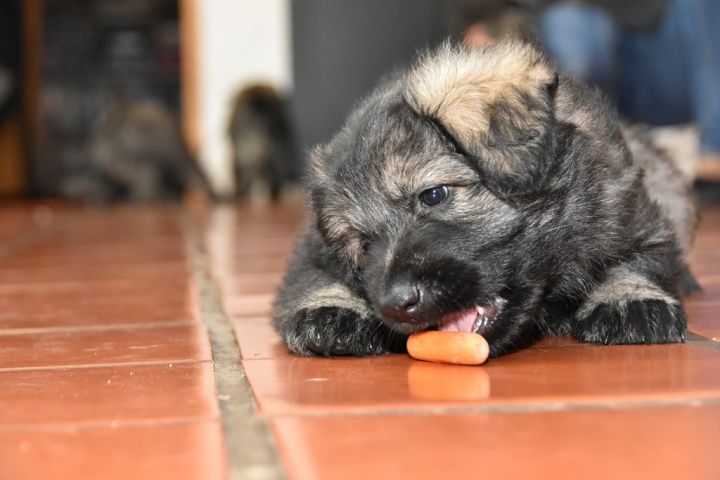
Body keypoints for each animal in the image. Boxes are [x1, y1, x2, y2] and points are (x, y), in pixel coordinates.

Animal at [272, 40, 697, 358]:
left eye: (433, 195)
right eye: (362, 244)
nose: (395, 304)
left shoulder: (634, 213)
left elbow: (643, 258)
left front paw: (628, 298)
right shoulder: (312, 247)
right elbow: (312, 275)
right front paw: (333, 307)